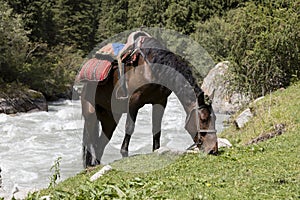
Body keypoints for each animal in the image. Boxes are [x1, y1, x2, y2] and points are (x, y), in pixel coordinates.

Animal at [79, 34, 217, 167]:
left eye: (214, 119)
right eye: (203, 119)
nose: (213, 149)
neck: (152, 68)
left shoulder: (160, 101)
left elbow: (157, 129)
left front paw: (156, 150)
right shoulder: (133, 102)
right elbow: (130, 127)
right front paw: (124, 154)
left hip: (111, 119)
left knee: (100, 144)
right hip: (91, 114)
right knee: (91, 141)